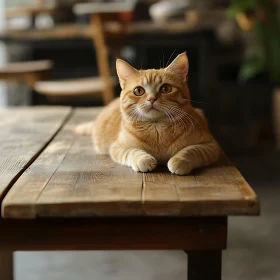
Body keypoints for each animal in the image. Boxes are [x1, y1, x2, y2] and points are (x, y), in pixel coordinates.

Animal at [75, 52, 220, 174]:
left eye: (165, 88)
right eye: (138, 91)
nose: (152, 99)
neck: (156, 128)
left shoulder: (211, 145)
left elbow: (192, 150)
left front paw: (180, 160)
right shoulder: (117, 147)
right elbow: (131, 152)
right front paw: (143, 159)